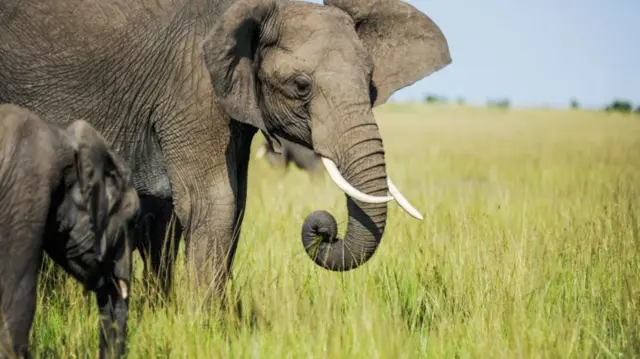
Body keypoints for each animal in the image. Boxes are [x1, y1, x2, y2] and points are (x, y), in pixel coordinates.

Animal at [0, 0, 450, 300]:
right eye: (301, 86)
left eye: (371, 81)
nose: (324, 227)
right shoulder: (191, 84)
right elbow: (215, 202)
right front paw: (205, 323)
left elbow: (237, 204)